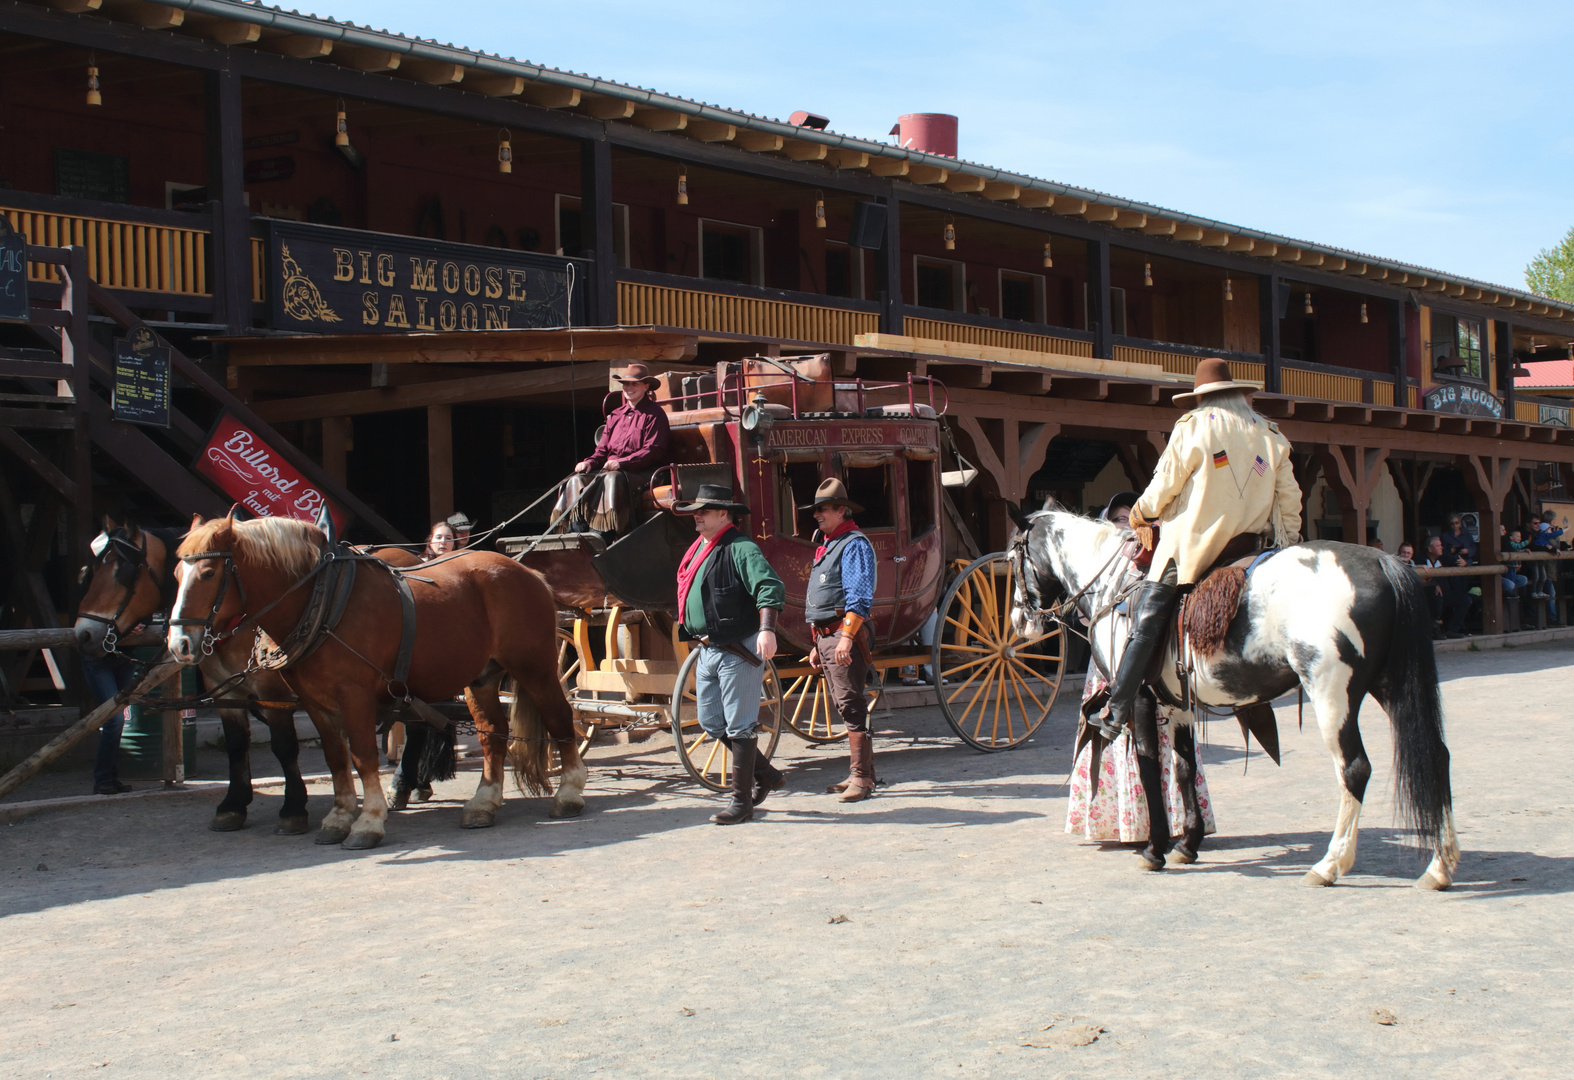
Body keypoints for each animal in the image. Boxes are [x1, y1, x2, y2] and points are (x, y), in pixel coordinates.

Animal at [167, 519, 585, 856]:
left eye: (207, 572)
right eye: (174, 574)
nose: (179, 644)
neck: (323, 600)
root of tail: (527, 572)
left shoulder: (352, 698)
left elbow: (363, 757)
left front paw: (367, 821)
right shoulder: (315, 703)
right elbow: (336, 759)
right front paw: (338, 818)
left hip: (535, 667)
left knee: (562, 720)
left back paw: (569, 793)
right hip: (481, 677)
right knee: (492, 733)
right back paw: (484, 802)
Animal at [1007, 506, 1460, 887]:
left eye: (1012, 559)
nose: (1018, 621)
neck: (1113, 585)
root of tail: (1383, 561)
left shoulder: (1138, 699)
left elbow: (1151, 768)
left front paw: (1154, 849)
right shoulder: (1178, 704)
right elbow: (1185, 769)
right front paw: (1188, 843)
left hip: (1334, 694)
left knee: (1355, 769)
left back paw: (1331, 863)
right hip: (1389, 685)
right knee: (1436, 756)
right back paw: (1440, 866)